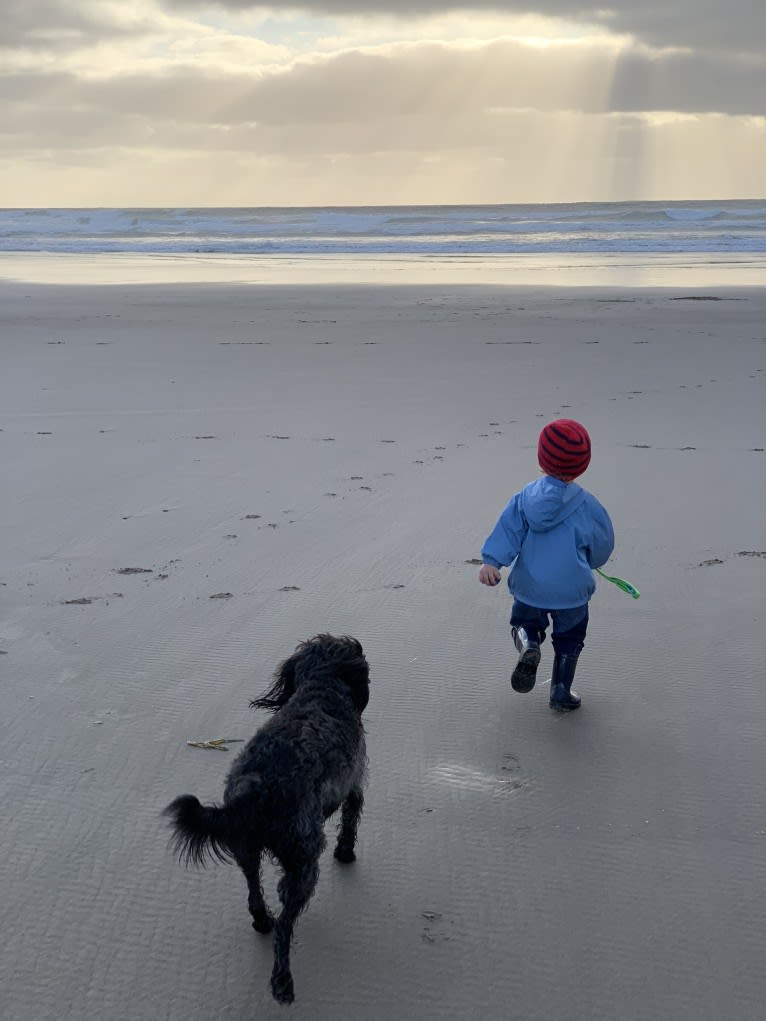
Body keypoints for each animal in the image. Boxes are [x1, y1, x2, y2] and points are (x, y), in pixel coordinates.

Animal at [165, 628, 371, 1004]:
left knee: (253, 890)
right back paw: (282, 982)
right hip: (303, 861)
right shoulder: (354, 783)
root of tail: (257, 788)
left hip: (244, 847)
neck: (320, 689)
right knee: (286, 924)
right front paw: (346, 854)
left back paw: (262, 921)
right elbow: (350, 823)